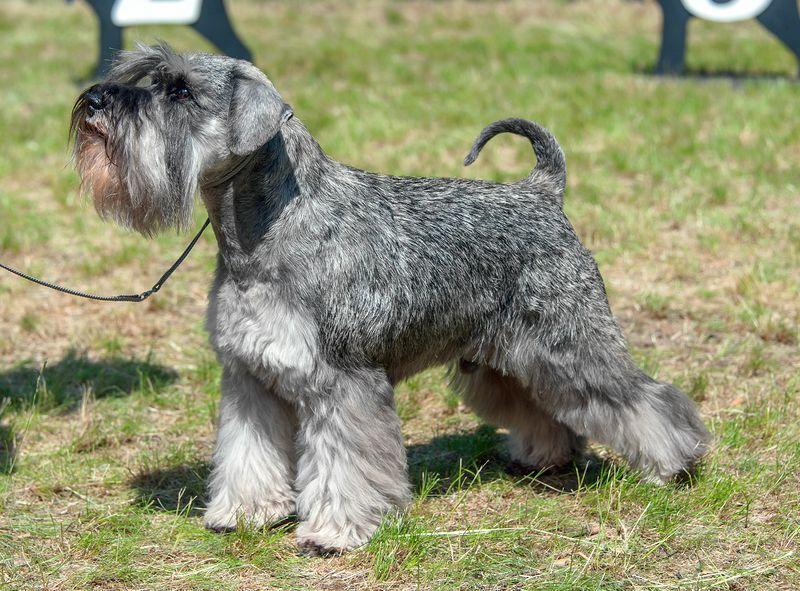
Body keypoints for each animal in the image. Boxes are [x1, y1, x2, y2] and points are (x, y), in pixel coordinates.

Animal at [70, 44, 710, 555]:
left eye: (180, 89)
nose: (94, 101)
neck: (268, 230)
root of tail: (542, 193)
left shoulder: (343, 382)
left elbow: (345, 466)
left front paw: (334, 533)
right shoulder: (250, 378)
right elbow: (246, 453)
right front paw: (243, 514)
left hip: (573, 343)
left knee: (645, 400)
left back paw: (673, 465)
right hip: (505, 361)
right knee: (544, 408)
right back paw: (543, 456)